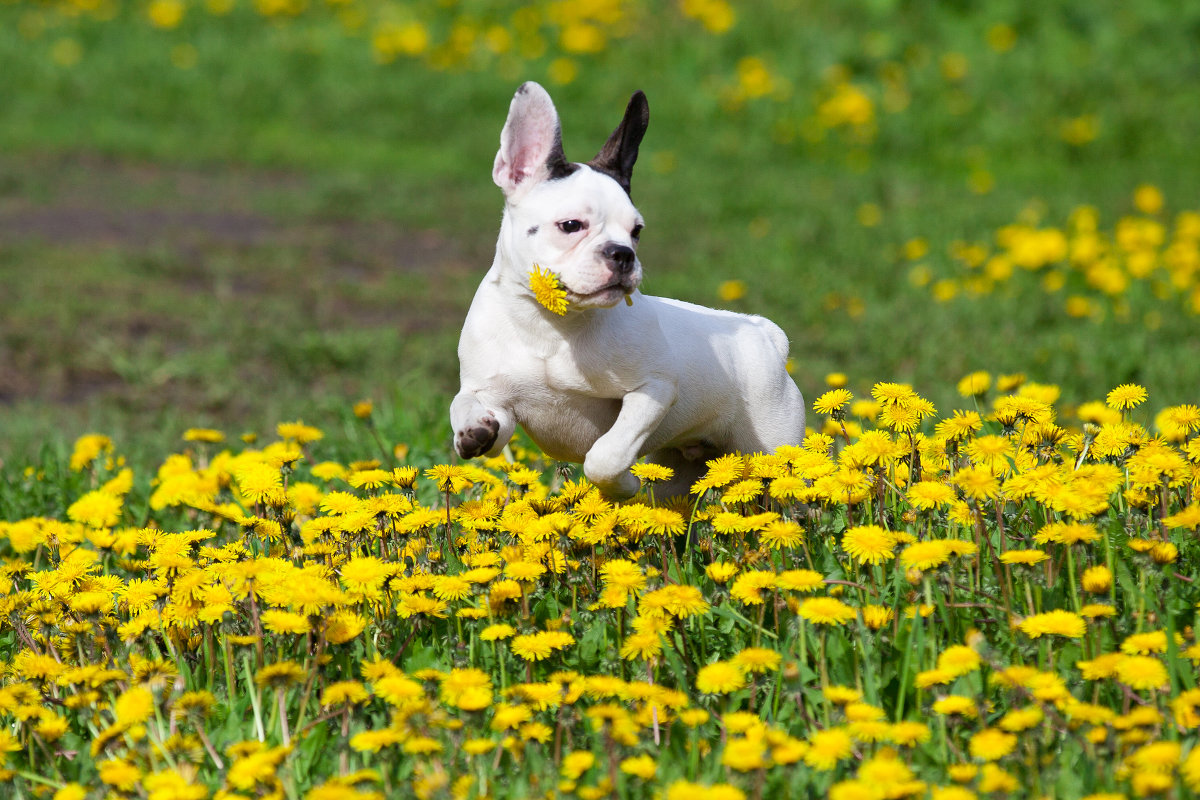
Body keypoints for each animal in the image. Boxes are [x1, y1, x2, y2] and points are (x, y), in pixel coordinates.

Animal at [451, 79, 806, 494]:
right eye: (571, 225)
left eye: (636, 231)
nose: (622, 253)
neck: (551, 323)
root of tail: (765, 334)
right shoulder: (497, 401)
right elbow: (464, 404)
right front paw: (472, 431)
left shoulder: (652, 391)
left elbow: (605, 456)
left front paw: (624, 488)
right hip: (679, 472)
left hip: (772, 448)